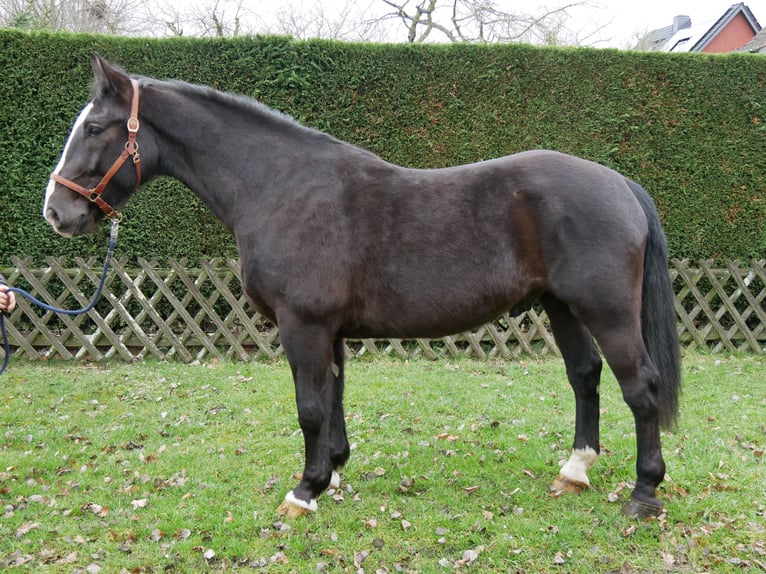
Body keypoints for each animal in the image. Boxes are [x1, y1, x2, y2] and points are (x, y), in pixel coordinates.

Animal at [43, 53, 681, 519]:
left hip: (605, 311)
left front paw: (304, 491)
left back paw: (644, 494)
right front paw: (334, 472)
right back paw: (574, 472)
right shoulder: (329, 330)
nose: (56, 212)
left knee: (640, 387)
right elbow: (333, 399)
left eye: (95, 128)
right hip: (561, 306)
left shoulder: (302, 324)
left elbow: (308, 406)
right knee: (585, 376)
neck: (280, 187)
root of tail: (620, 183)